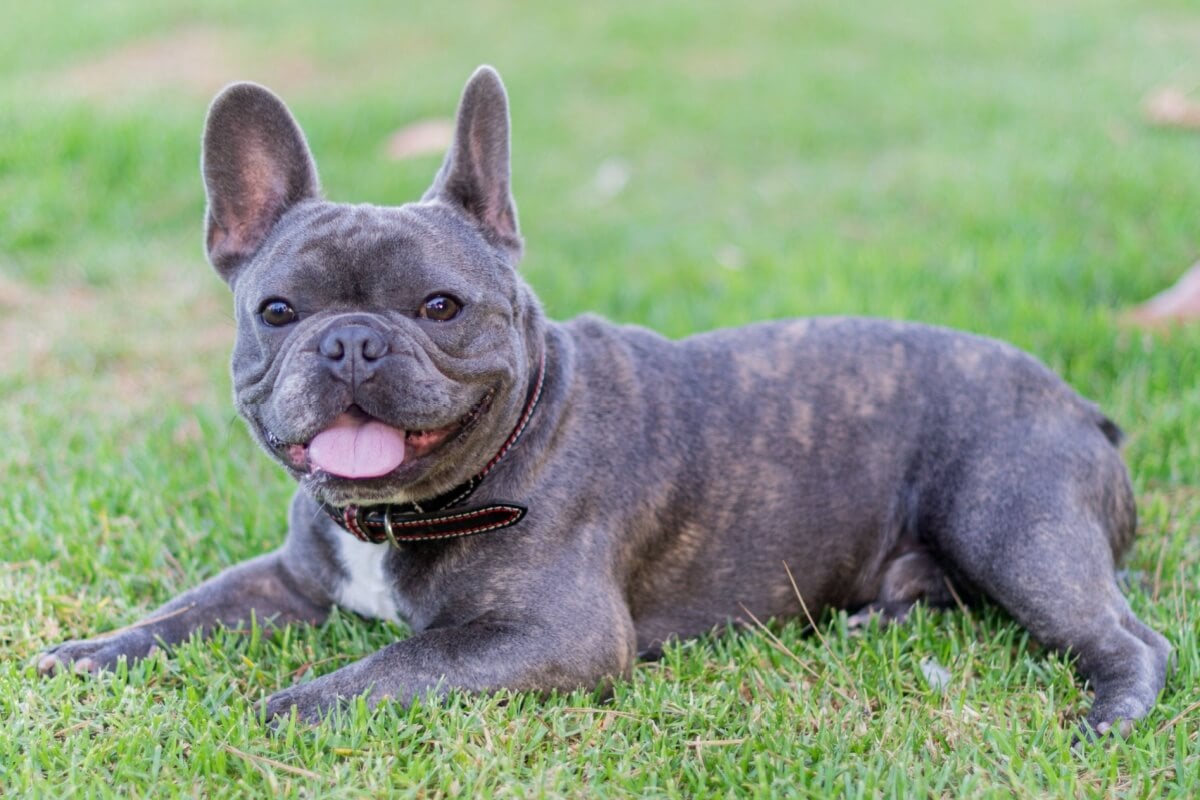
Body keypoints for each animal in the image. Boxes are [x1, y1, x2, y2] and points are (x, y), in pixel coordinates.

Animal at [42, 65, 1166, 734]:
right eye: (278, 310)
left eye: (440, 307)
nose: (353, 339)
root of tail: (1078, 404)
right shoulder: (286, 582)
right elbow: (188, 609)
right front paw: (92, 654)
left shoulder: (548, 637)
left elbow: (397, 662)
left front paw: (290, 703)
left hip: (1009, 519)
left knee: (1126, 633)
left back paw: (1110, 711)